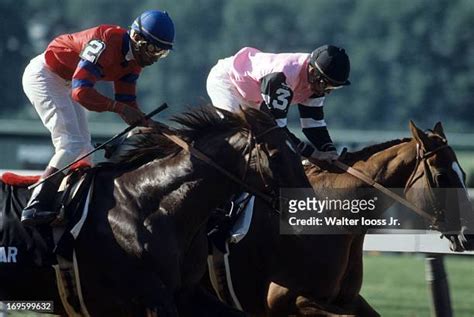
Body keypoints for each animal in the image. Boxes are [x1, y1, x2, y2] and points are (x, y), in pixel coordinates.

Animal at [0, 105, 312, 314]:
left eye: (297, 149)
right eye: (275, 154)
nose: (306, 204)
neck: (150, 206)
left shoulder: (186, 293)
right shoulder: (152, 298)